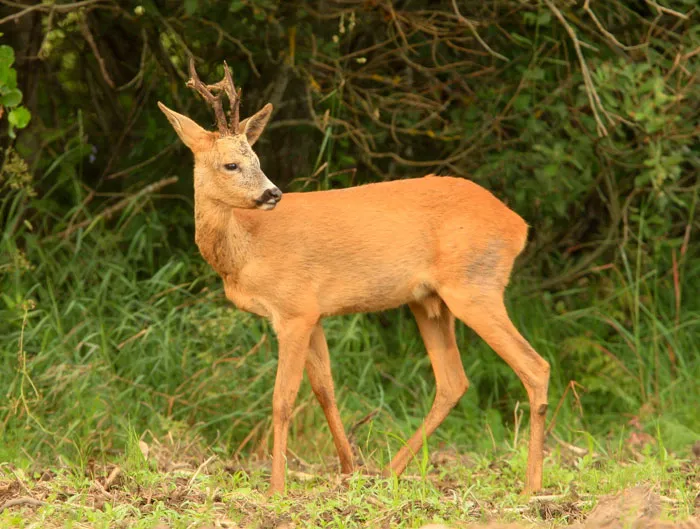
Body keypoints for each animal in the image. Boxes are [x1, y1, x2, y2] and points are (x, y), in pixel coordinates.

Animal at [159, 58, 552, 496]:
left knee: (535, 366)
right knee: (454, 381)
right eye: (232, 163)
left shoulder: (294, 309)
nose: (272, 193)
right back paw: (389, 471)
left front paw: (277, 487)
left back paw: (531, 487)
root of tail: (518, 225)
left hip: (475, 286)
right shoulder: (313, 313)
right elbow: (325, 391)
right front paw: (348, 471)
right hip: (428, 301)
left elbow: (283, 399)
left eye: (257, 159)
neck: (246, 249)